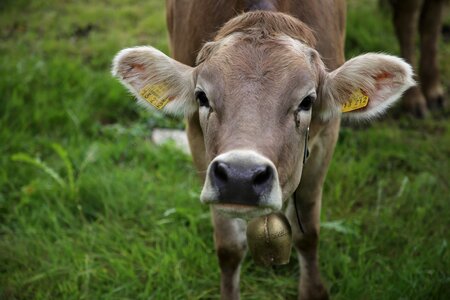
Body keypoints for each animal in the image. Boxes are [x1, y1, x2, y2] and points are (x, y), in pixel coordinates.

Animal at [110, 1, 414, 298]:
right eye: (201, 97)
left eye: (307, 101)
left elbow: (307, 233)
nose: (240, 177)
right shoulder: (196, 141)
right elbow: (229, 247)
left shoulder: (326, 138)